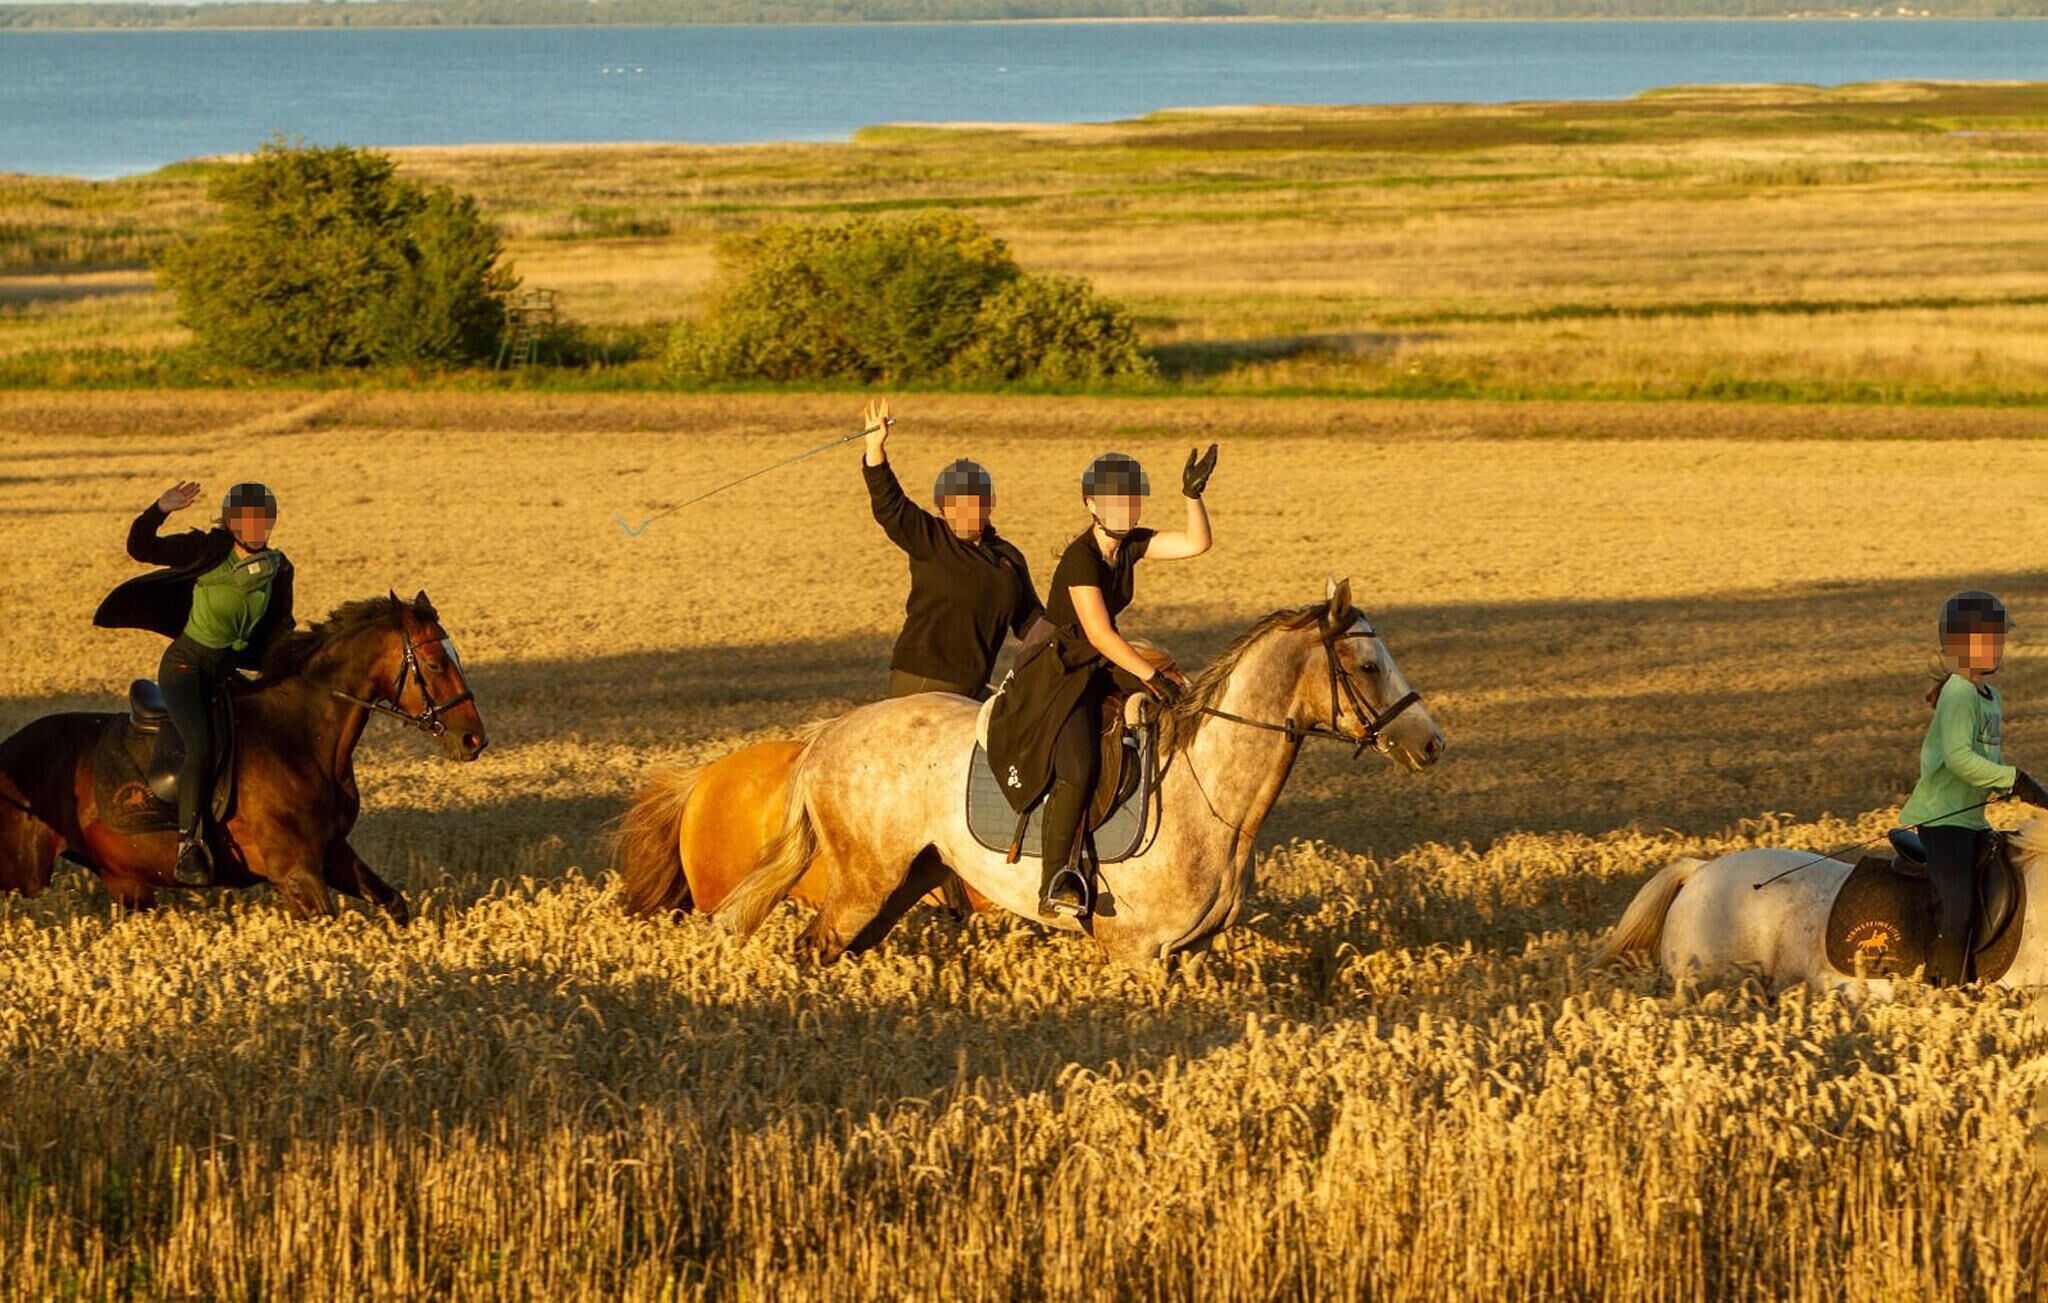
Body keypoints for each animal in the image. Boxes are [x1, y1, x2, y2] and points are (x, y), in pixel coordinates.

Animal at [0, 591, 486, 919]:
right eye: (436, 664)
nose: (473, 739)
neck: (303, 738)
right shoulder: (296, 871)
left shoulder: (333, 854)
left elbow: (394, 903)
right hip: (23, 875)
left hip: (127, 884)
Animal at [712, 577, 1446, 966]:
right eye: (1368, 666)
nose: (1432, 743)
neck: (1210, 797)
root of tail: (826, 736)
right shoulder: (1137, 954)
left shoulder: (1186, 953)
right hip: (866, 881)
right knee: (815, 945)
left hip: (903, 880)